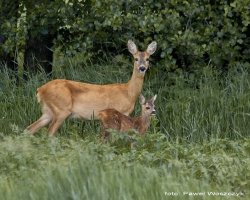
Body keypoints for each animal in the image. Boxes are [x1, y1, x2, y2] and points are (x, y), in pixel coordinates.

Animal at [26, 39, 157, 135]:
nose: (142, 68)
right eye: (135, 58)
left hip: (48, 111)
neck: (128, 92)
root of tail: (40, 90)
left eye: (147, 59)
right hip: (61, 109)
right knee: (49, 133)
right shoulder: (119, 111)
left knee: (29, 129)